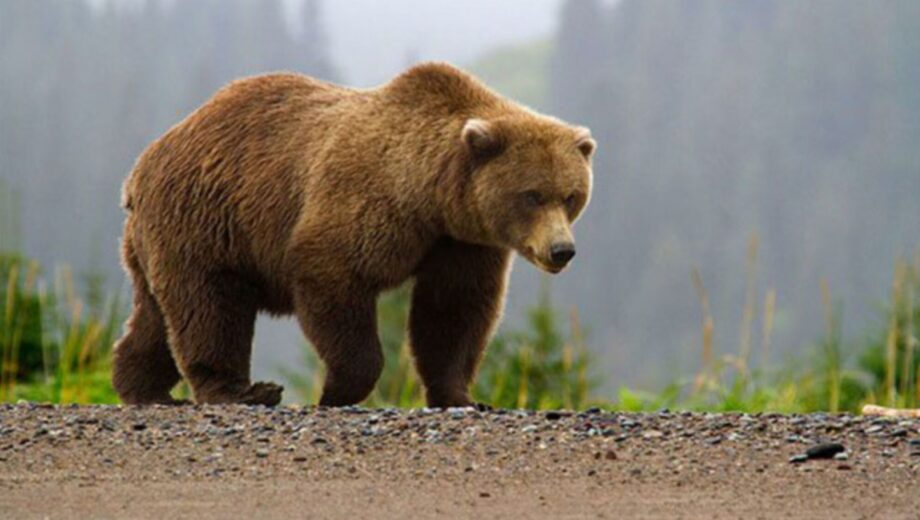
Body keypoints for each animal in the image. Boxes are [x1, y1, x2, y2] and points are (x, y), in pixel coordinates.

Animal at [111, 62, 595, 407]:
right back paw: (242, 391)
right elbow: (333, 277)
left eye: (571, 195)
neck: (431, 196)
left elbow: (454, 311)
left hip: (160, 238)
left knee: (157, 314)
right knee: (210, 306)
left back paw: (142, 387)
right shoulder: (366, 203)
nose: (562, 250)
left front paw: (462, 396)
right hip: (207, 218)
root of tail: (142, 165)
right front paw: (336, 391)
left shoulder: (461, 242)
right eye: (532, 195)